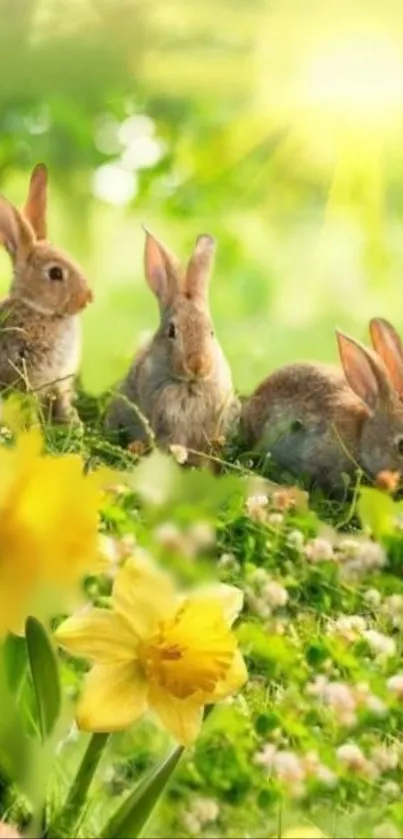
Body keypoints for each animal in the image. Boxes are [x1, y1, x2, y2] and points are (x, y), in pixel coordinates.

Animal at [0, 163, 92, 424]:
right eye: (56, 273)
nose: (88, 298)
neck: (37, 309)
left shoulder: (59, 382)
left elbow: (61, 402)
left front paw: (74, 423)